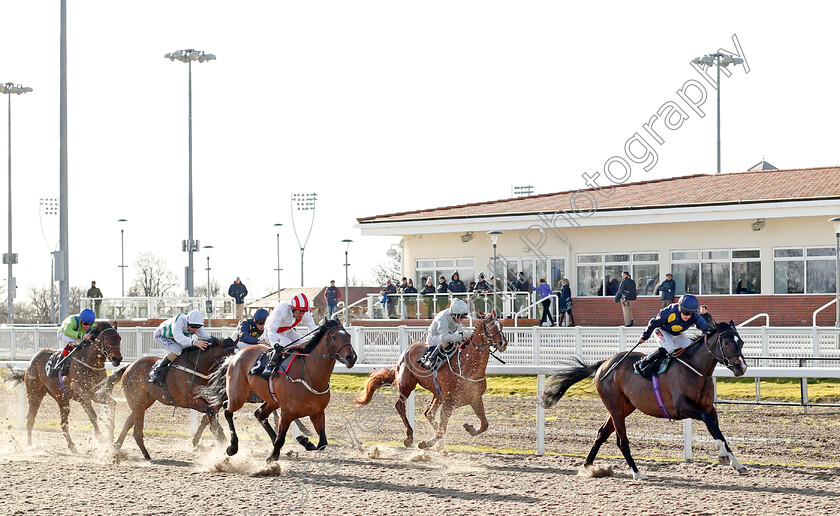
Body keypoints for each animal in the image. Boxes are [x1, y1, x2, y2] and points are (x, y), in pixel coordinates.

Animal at [6, 322, 123, 452]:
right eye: (107, 339)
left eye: (119, 338)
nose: (117, 359)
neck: (89, 362)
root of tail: (31, 362)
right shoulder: (82, 395)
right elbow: (92, 415)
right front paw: (101, 438)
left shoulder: (96, 394)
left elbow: (112, 403)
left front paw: (111, 435)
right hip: (35, 394)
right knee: (30, 418)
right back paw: (29, 445)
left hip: (61, 397)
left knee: (63, 423)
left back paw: (71, 445)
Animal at [104, 334, 240, 460]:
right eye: (228, 355)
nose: (234, 373)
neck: (197, 367)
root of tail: (129, 366)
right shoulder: (189, 400)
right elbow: (212, 419)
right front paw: (227, 445)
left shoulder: (211, 400)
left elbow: (208, 419)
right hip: (137, 400)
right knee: (137, 431)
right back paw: (146, 455)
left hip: (144, 402)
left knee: (128, 422)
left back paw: (116, 446)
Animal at [207, 318, 358, 464]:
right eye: (334, 337)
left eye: (349, 336)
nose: (351, 357)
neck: (309, 376)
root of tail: (235, 356)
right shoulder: (287, 412)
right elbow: (281, 439)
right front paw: (272, 456)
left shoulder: (317, 412)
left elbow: (322, 443)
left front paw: (304, 441)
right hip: (238, 396)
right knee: (227, 409)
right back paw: (232, 447)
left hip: (272, 400)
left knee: (259, 414)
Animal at [352, 312, 506, 450]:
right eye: (490, 325)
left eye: (501, 325)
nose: (502, 343)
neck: (467, 365)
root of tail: (407, 350)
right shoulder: (449, 402)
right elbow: (442, 429)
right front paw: (426, 443)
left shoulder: (475, 398)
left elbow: (484, 424)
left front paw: (470, 428)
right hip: (406, 386)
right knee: (400, 406)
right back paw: (410, 437)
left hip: (437, 394)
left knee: (428, 413)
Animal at [540, 318, 752, 480]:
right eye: (726, 342)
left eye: (741, 342)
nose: (740, 367)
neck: (696, 369)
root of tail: (604, 364)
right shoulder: (682, 408)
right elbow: (712, 426)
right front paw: (722, 454)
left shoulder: (708, 407)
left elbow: (718, 431)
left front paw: (736, 463)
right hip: (615, 408)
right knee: (621, 441)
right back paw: (637, 473)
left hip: (624, 407)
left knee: (601, 433)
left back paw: (588, 466)